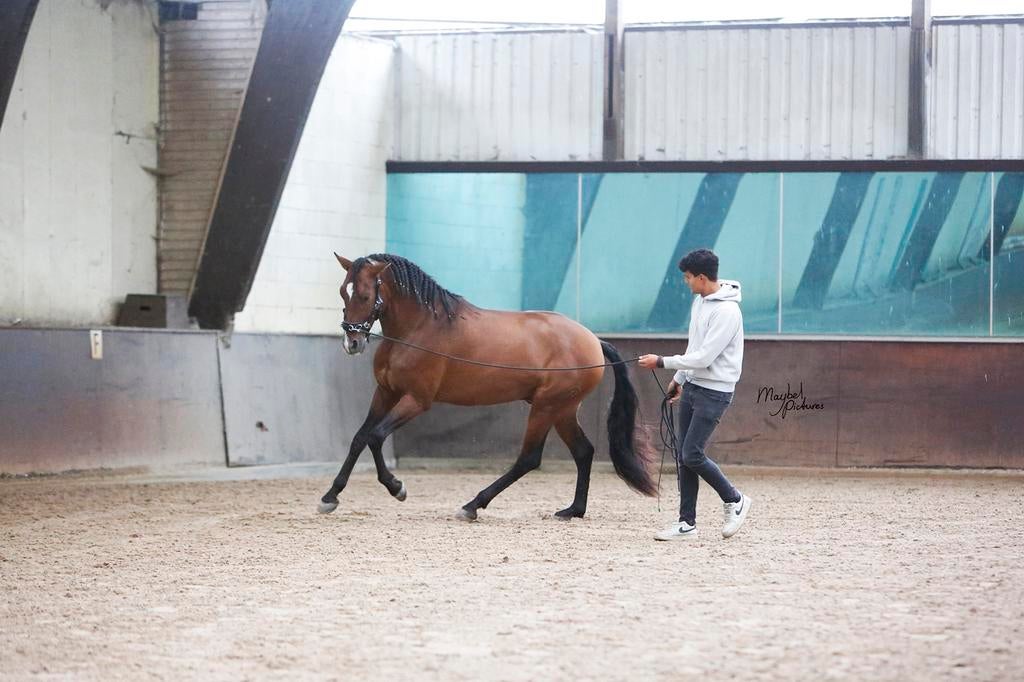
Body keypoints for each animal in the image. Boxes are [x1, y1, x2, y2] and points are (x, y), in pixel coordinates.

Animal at [318, 252, 657, 521]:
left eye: (364, 295)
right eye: (342, 292)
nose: (352, 342)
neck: (419, 328)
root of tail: (593, 341)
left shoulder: (416, 400)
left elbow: (376, 437)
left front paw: (397, 487)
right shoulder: (386, 393)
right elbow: (360, 438)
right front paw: (330, 497)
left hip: (547, 407)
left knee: (529, 459)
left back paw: (472, 505)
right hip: (563, 410)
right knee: (583, 452)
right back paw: (573, 510)